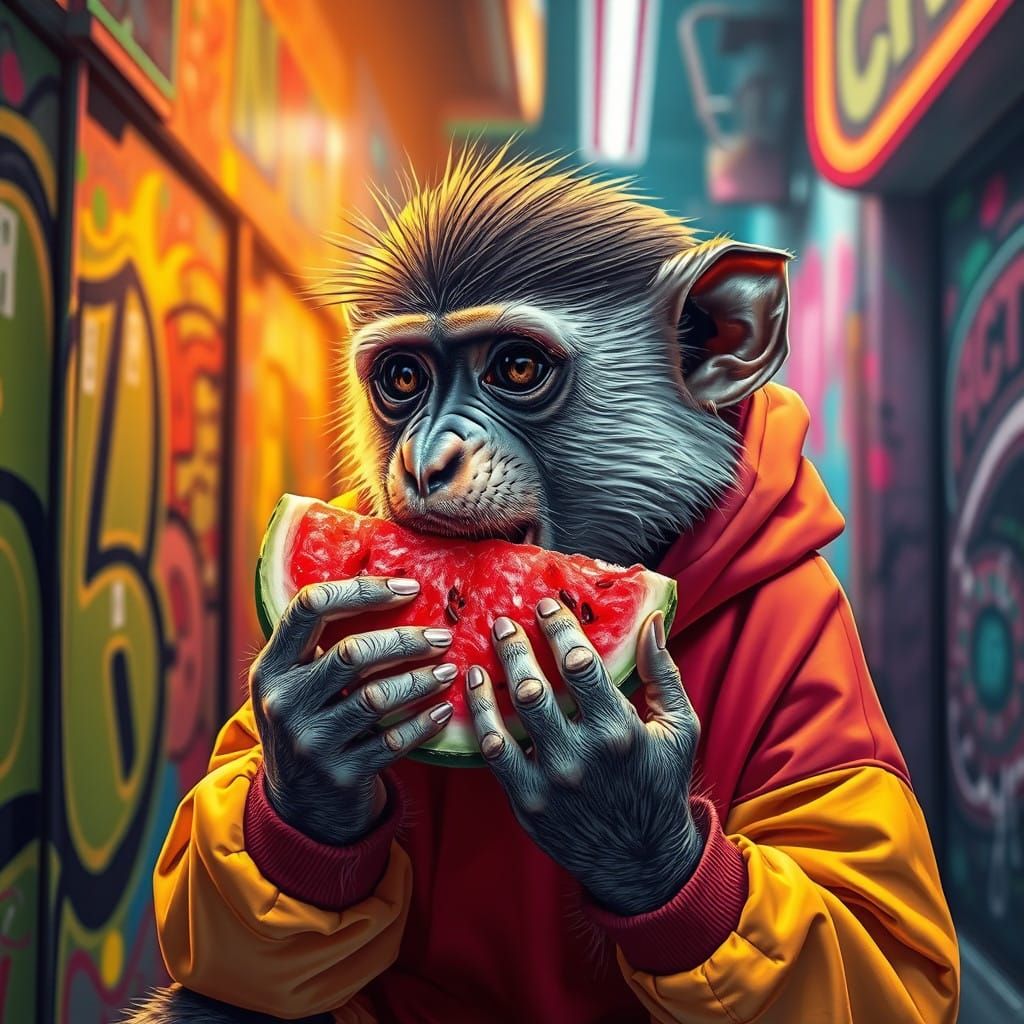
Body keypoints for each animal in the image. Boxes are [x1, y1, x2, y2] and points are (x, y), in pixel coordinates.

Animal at [126, 145, 958, 1024]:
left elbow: (873, 942)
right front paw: (308, 746)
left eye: (517, 367)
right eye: (402, 378)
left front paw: (623, 800)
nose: (426, 458)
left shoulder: (812, 624)